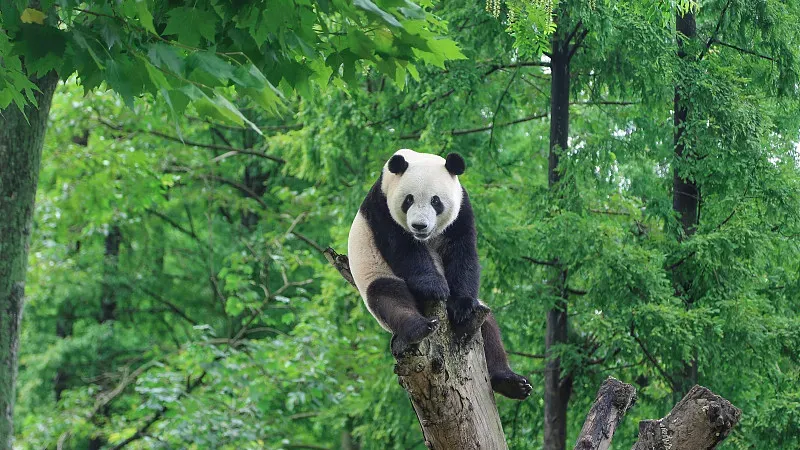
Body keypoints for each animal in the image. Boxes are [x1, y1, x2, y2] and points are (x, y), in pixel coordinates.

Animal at [347, 149, 532, 400]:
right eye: (408, 200)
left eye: (436, 201)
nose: (419, 226)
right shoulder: (382, 208)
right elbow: (405, 250)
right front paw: (435, 287)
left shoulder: (462, 208)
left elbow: (462, 253)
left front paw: (460, 305)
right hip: (375, 275)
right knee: (389, 298)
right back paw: (419, 327)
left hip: (480, 316)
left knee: (489, 329)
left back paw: (510, 383)